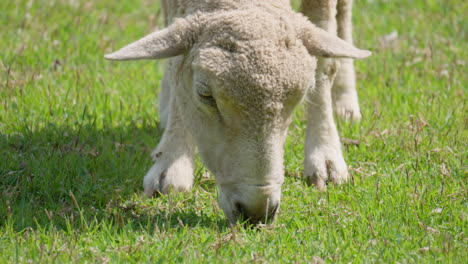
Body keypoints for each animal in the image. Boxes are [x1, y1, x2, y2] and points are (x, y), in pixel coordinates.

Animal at [105, 0, 370, 225]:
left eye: (302, 95)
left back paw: (344, 100)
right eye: (205, 94)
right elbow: (177, 63)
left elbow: (324, 60)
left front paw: (325, 155)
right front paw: (172, 162)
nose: (256, 211)